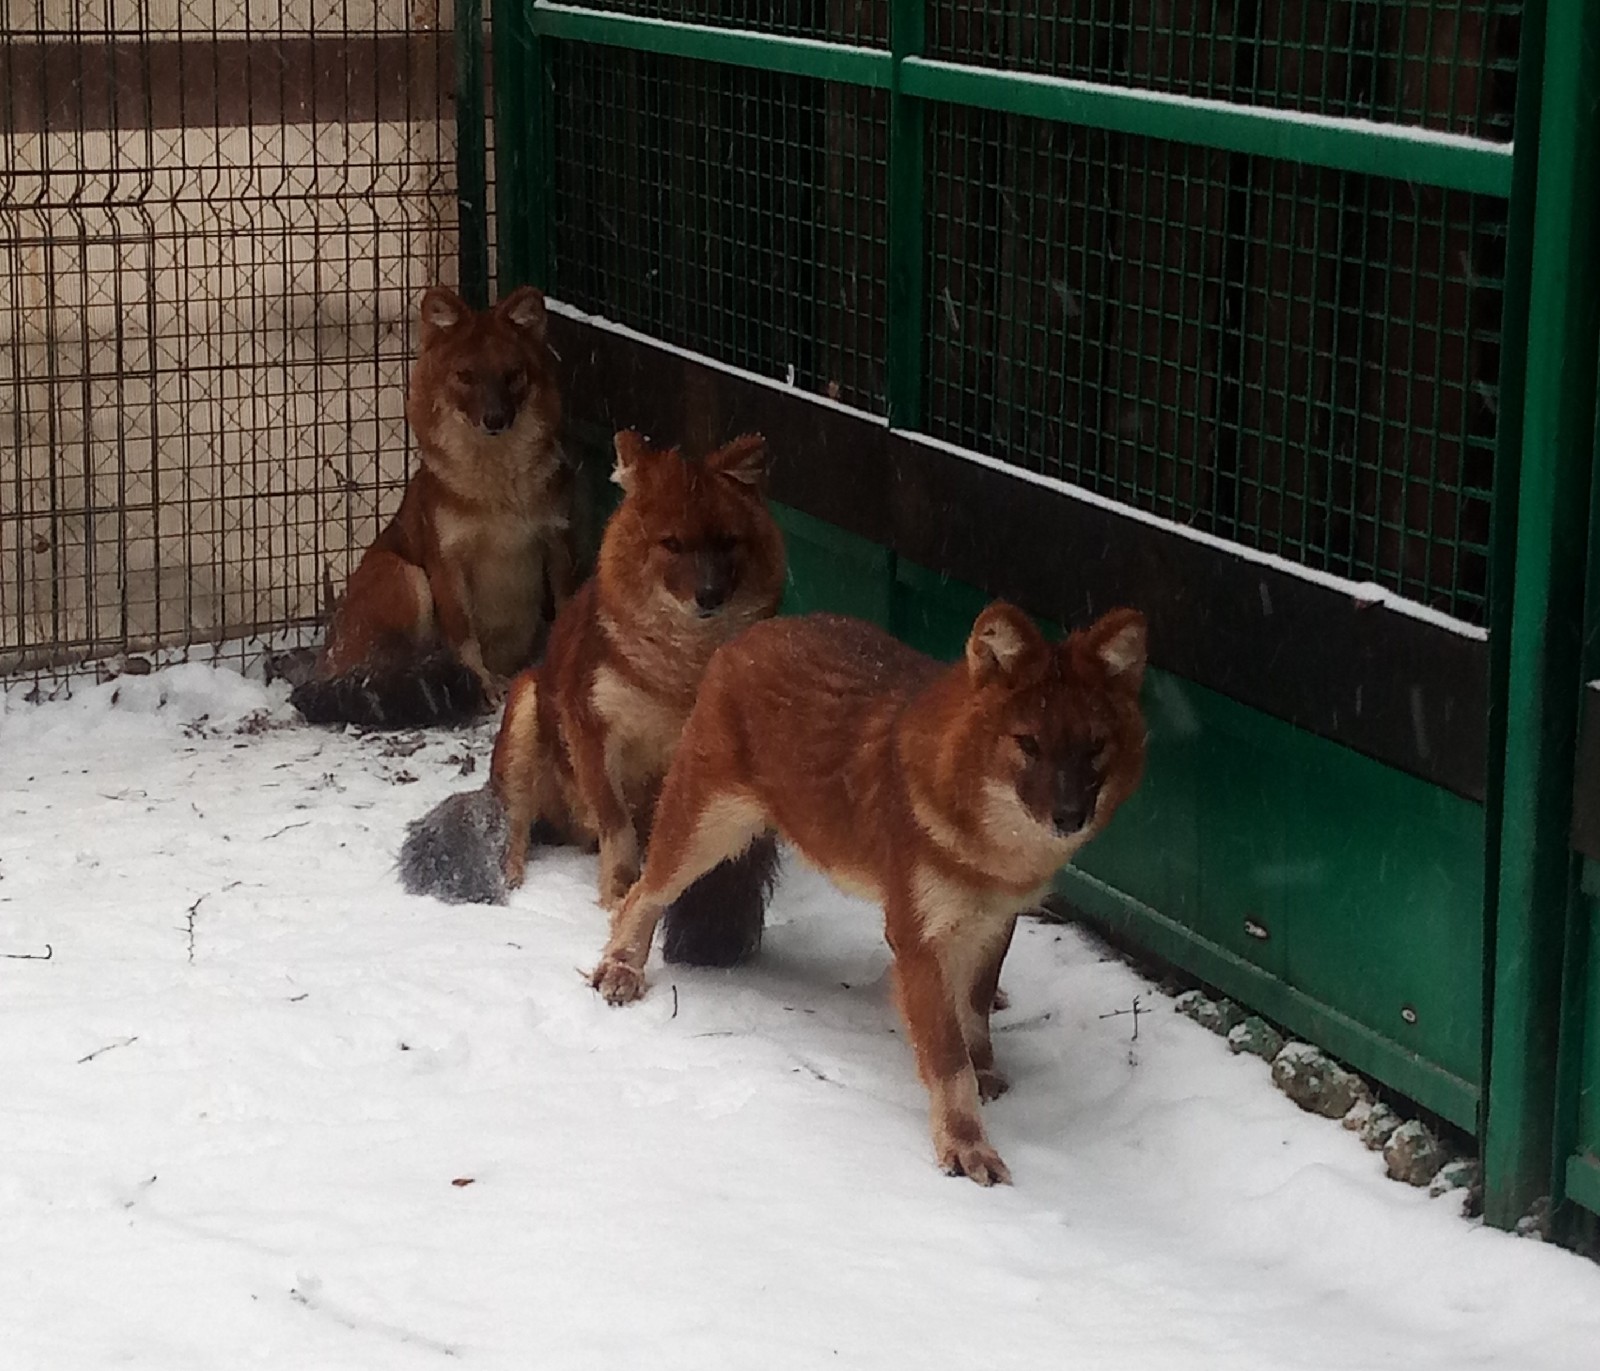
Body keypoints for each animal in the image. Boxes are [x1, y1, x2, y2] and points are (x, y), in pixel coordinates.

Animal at [291, 281, 572, 726]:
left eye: (513, 375)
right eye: (465, 376)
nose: (495, 419)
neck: (497, 486)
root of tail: (324, 664)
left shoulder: (557, 541)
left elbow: (564, 608)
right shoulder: (446, 560)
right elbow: (464, 633)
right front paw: (484, 686)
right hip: (402, 575)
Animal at [400, 431, 787, 966]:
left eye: (728, 541)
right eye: (671, 543)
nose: (709, 594)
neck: (682, 667)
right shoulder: (589, 723)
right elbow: (616, 823)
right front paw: (617, 893)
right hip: (526, 707)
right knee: (513, 822)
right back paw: (512, 878)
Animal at [595, 604, 1145, 1183]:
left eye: (1094, 747)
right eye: (1028, 744)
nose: (1069, 816)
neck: (994, 852)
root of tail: (763, 627)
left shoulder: (994, 921)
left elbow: (974, 1009)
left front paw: (986, 1067)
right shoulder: (918, 935)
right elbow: (947, 1057)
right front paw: (967, 1145)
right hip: (708, 830)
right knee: (641, 892)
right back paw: (620, 969)